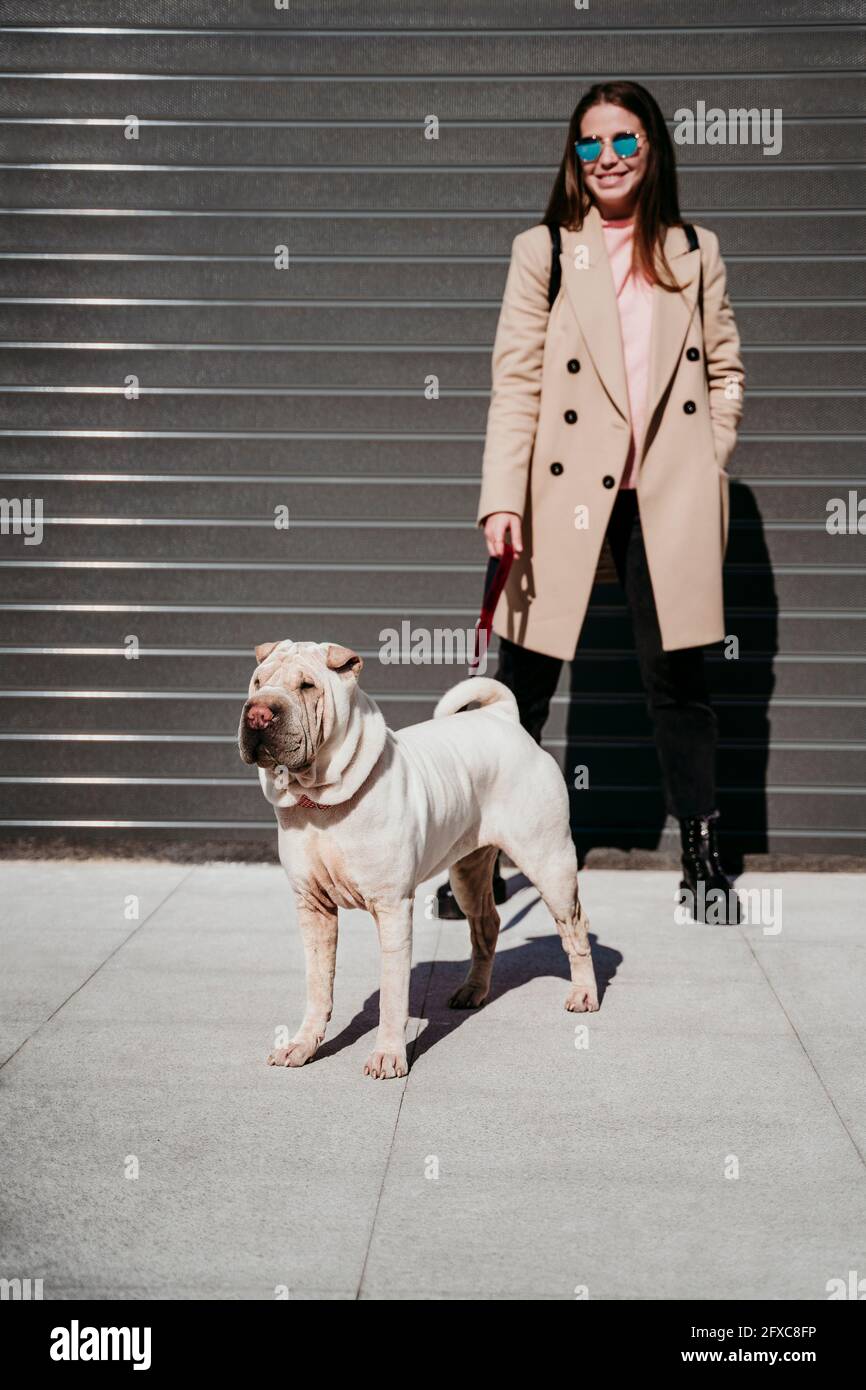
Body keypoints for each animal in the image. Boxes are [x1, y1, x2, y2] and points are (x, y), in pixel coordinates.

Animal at [240, 636, 600, 1078]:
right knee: (487, 923)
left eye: (307, 686)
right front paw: (302, 1045)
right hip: (467, 874)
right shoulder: (313, 906)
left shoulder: (393, 907)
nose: (258, 712)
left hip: (549, 862)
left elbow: (394, 994)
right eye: (258, 682)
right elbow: (318, 984)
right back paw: (473, 991)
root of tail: (503, 719)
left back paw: (583, 994)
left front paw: (388, 1056)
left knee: (574, 926)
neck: (320, 801)